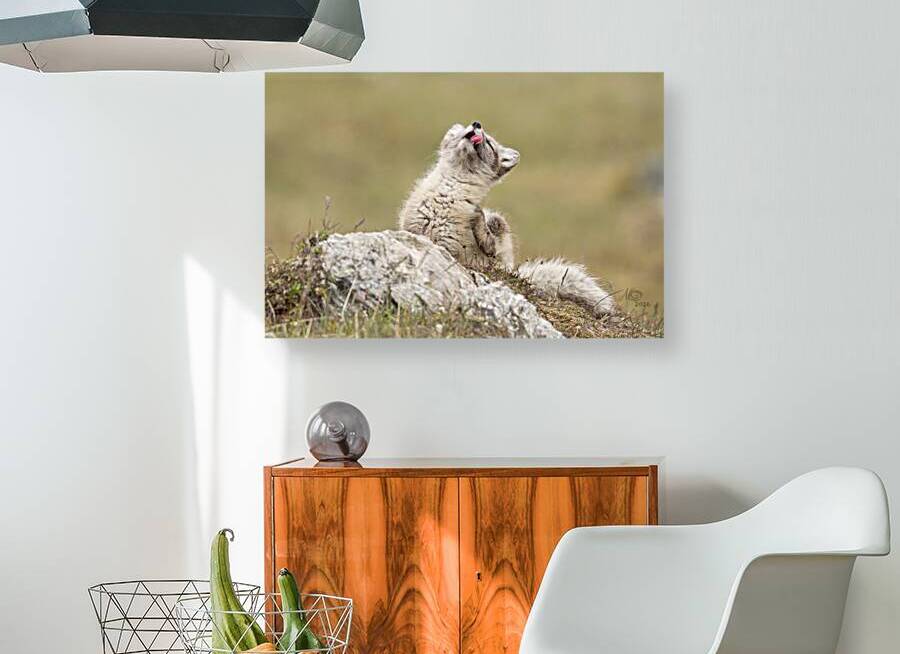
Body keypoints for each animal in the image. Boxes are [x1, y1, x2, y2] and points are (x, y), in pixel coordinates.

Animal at [399, 121, 617, 316]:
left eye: (489, 143)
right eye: (465, 128)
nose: (476, 124)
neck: (449, 193)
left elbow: (489, 245)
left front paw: (477, 220)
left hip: (499, 230)